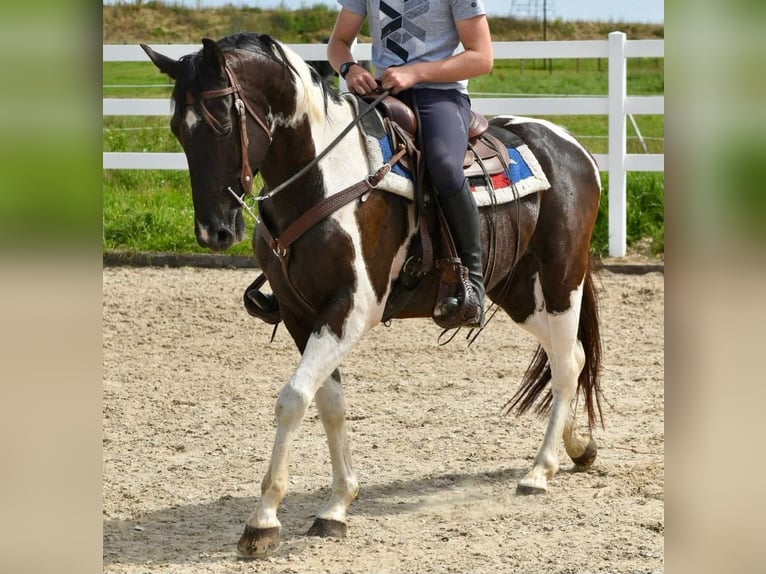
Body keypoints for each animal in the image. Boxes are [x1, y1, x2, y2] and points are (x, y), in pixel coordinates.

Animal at [141, 32, 604, 558]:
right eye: (177, 129)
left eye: (221, 121)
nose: (213, 231)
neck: (326, 178)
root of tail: (569, 144)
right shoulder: (302, 313)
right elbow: (329, 403)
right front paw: (337, 505)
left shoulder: (351, 308)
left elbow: (293, 397)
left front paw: (263, 521)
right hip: (519, 290)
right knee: (571, 356)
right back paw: (578, 447)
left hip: (561, 276)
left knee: (566, 363)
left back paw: (540, 471)